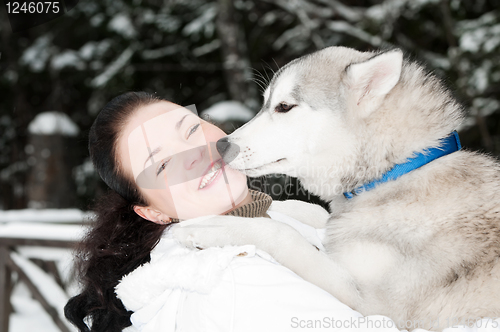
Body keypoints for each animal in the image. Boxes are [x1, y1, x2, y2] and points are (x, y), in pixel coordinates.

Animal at [173, 47, 500, 330]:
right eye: (266, 103)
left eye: (284, 107)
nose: (221, 145)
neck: (394, 173)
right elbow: (313, 211)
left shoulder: (376, 308)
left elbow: (282, 234)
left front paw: (211, 227)